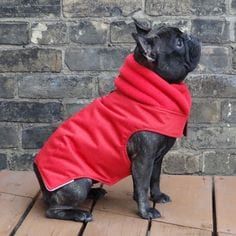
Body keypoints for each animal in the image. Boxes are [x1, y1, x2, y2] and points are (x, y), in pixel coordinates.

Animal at [33, 18, 201, 221]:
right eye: (178, 43)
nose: (191, 36)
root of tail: (38, 175)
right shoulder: (143, 159)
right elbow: (143, 186)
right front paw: (146, 211)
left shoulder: (157, 159)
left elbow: (154, 179)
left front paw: (157, 196)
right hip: (78, 184)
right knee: (53, 209)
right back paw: (79, 214)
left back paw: (95, 192)